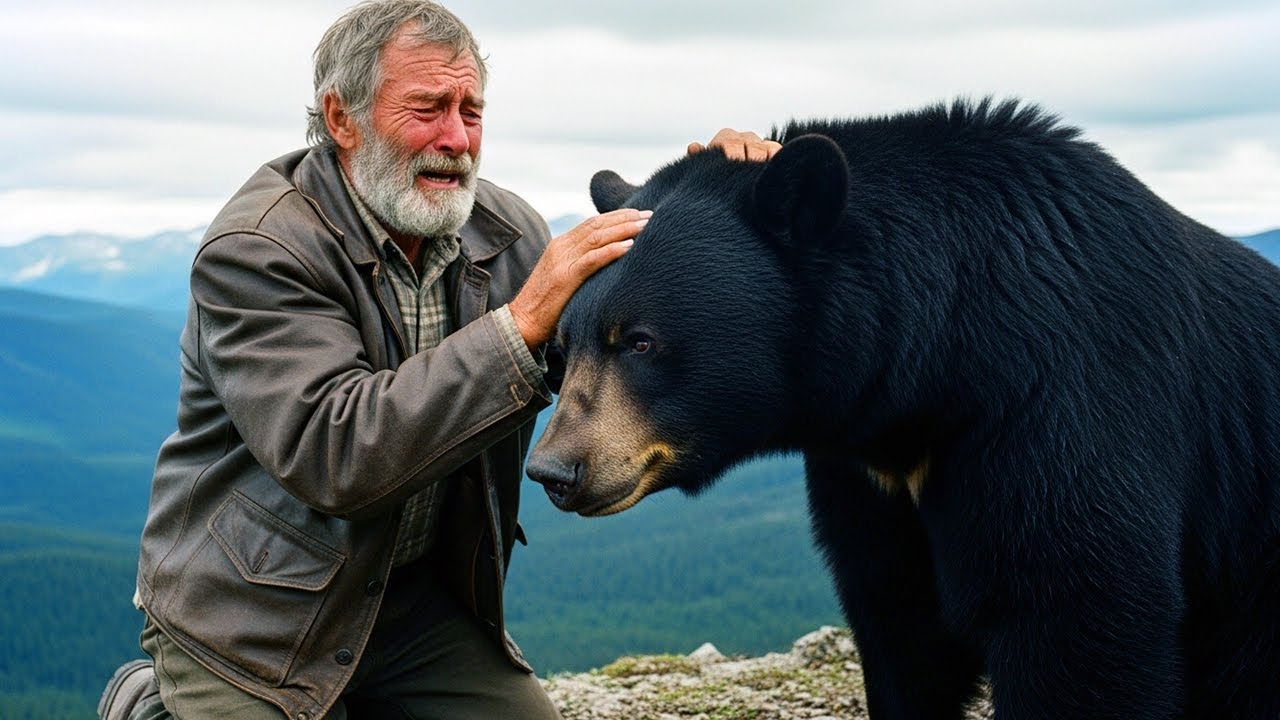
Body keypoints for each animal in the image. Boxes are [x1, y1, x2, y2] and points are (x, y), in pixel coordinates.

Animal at [525, 98, 1280, 719]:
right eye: (562, 348)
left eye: (639, 340)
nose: (554, 470)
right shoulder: (868, 474)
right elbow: (898, 621)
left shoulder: (1064, 397)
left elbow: (1075, 604)